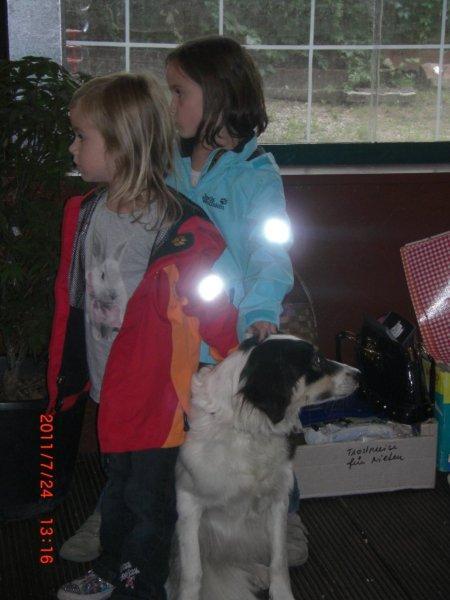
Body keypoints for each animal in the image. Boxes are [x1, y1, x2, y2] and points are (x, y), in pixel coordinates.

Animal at [168, 335, 359, 600]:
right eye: (316, 360)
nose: (359, 374)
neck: (248, 430)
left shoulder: (278, 500)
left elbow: (279, 560)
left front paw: (281, 593)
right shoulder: (188, 503)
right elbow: (192, 572)